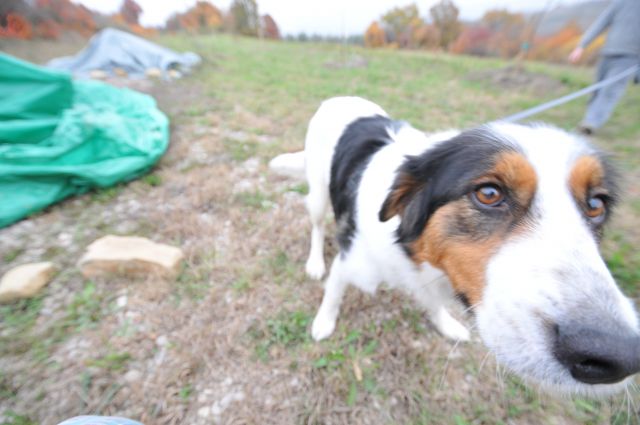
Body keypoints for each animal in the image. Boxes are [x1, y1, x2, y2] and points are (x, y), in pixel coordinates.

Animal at [272, 97, 640, 396]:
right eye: (488, 193)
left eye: (596, 205)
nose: (616, 354)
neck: (410, 256)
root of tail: (338, 99)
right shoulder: (349, 262)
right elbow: (333, 294)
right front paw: (324, 322)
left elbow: (434, 302)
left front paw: (446, 323)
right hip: (319, 193)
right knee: (317, 224)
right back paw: (314, 262)